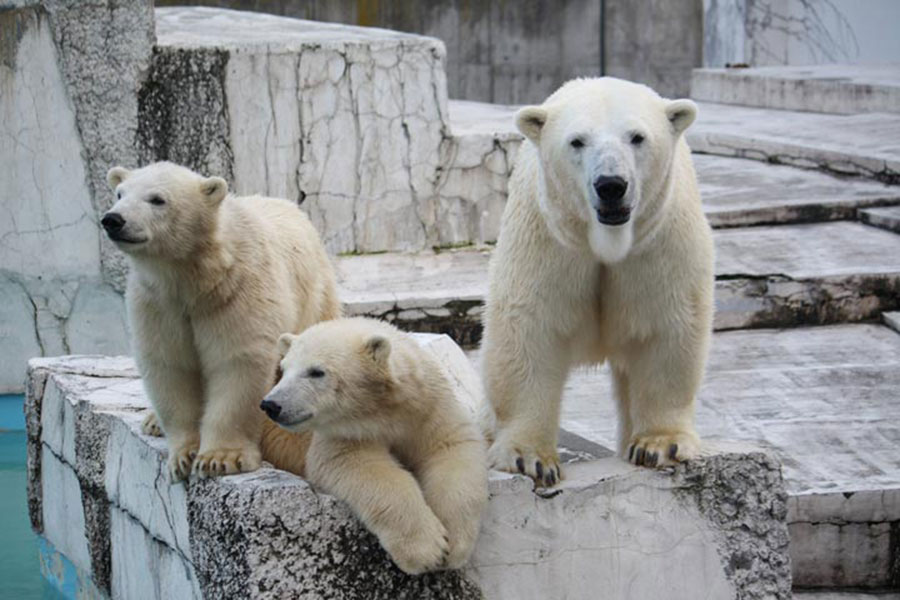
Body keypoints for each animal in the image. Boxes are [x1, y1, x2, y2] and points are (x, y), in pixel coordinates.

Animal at [103, 163, 342, 482]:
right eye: (119, 193)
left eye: (157, 199)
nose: (113, 219)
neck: (197, 277)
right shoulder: (158, 304)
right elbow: (170, 365)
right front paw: (183, 457)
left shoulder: (238, 291)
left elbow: (236, 362)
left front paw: (220, 459)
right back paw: (153, 421)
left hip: (314, 296)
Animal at [262, 316, 486, 576]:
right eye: (284, 369)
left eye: (316, 372)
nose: (271, 405)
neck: (382, 411)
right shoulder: (345, 435)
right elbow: (359, 466)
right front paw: (427, 550)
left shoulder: (427, 408)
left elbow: (451, 447)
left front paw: (455, 544)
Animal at [482, 76, 712, 488]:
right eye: (577, 141)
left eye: (637, 137)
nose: (611, 185)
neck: (606, 240)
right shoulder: (549, 240)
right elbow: (529, 330)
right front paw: (529, 458)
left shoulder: (658, 244)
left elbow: (668, 328)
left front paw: (660, 444)